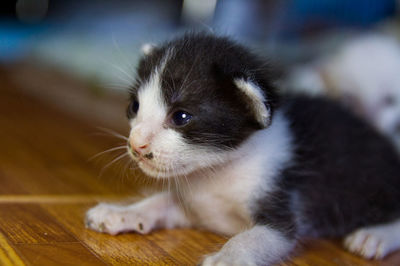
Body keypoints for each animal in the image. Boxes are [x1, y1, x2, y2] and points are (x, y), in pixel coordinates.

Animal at [86, 33, 400, 266]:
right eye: (134, 106)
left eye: (181, 117)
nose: (136, 144)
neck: (219, 170)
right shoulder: (198, 208)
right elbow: (159, 202)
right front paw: (123, 213)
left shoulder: (281, 210)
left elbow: (253, 238)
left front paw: (226, 258)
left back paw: (375, 236)